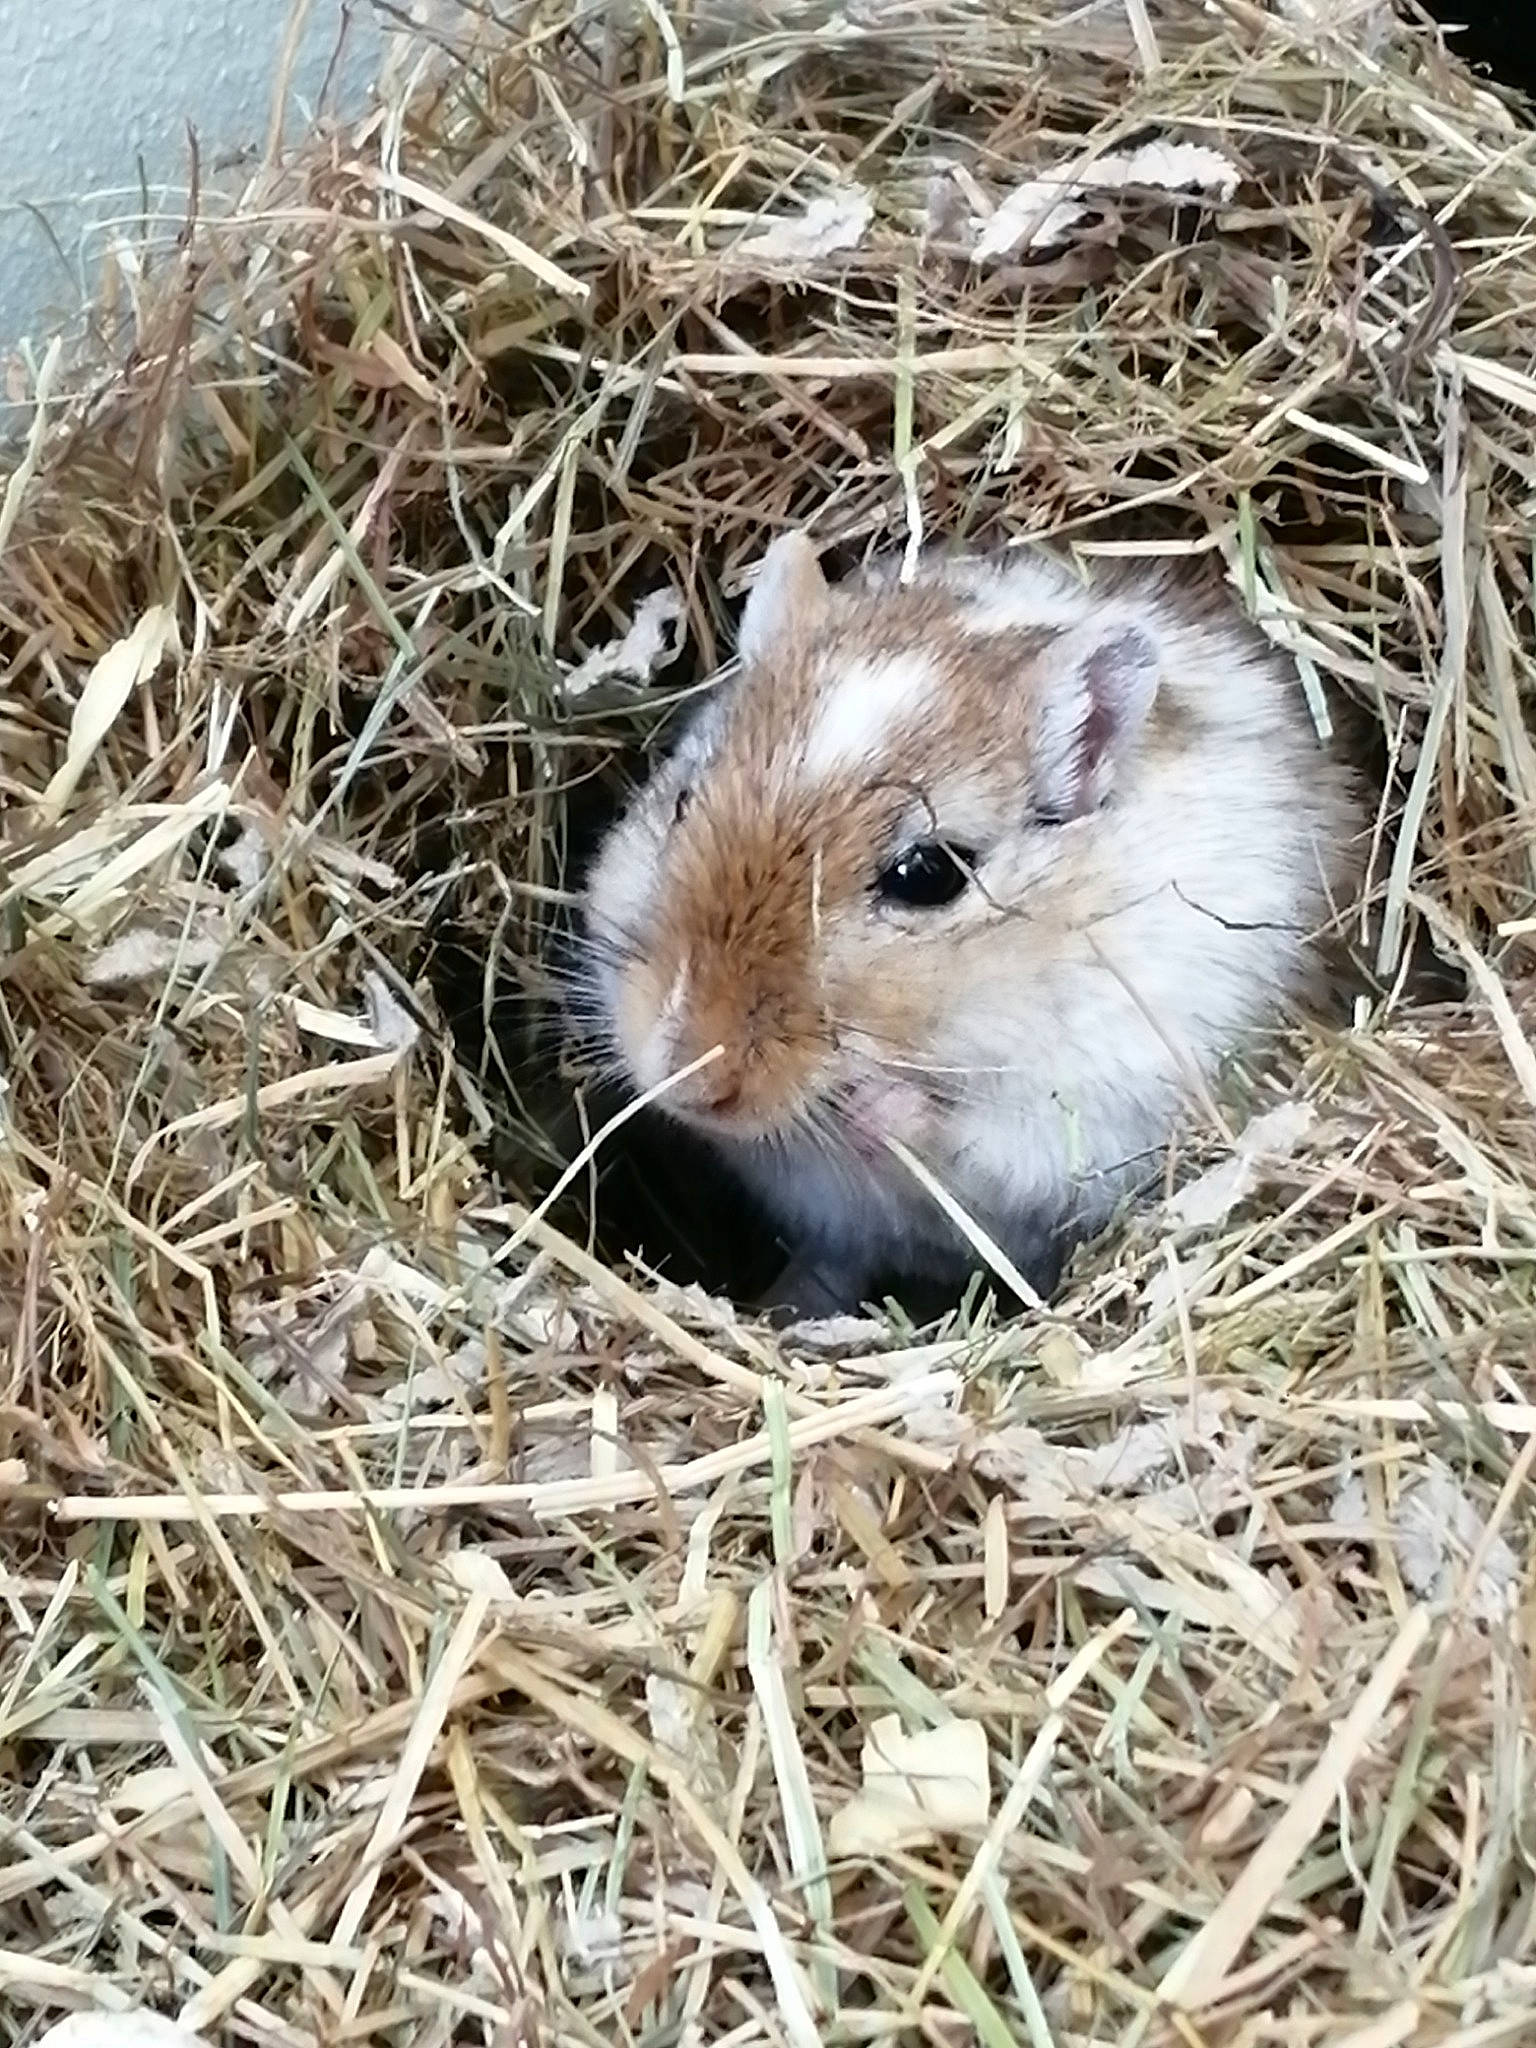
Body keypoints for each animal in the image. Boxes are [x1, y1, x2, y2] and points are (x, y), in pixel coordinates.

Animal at [580, 533, 1363, 1314]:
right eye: (683, 801)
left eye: (927, 875)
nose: (685, 1082)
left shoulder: (1093, 1099)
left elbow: (970, 1141)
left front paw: (877, 1107)